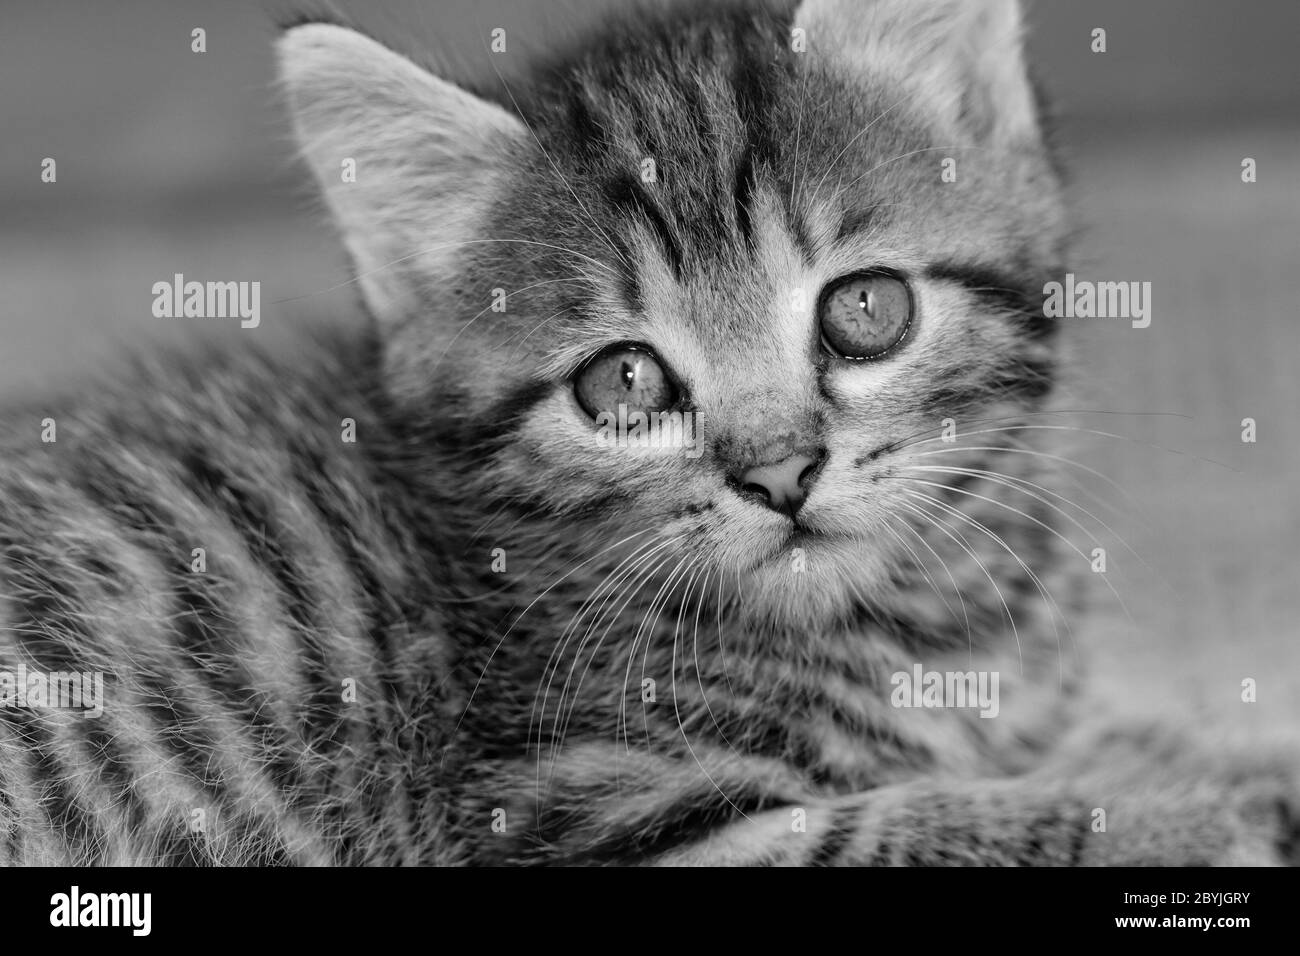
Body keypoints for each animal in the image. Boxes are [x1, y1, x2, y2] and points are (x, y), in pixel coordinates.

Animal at [0, 0, 1294, 868]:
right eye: (623, 382)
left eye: (865, 309)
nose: (780, 473)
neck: (923, 616)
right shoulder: (586, 813)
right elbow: (898, 822)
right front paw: (1197, 812)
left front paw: (1224, 759)